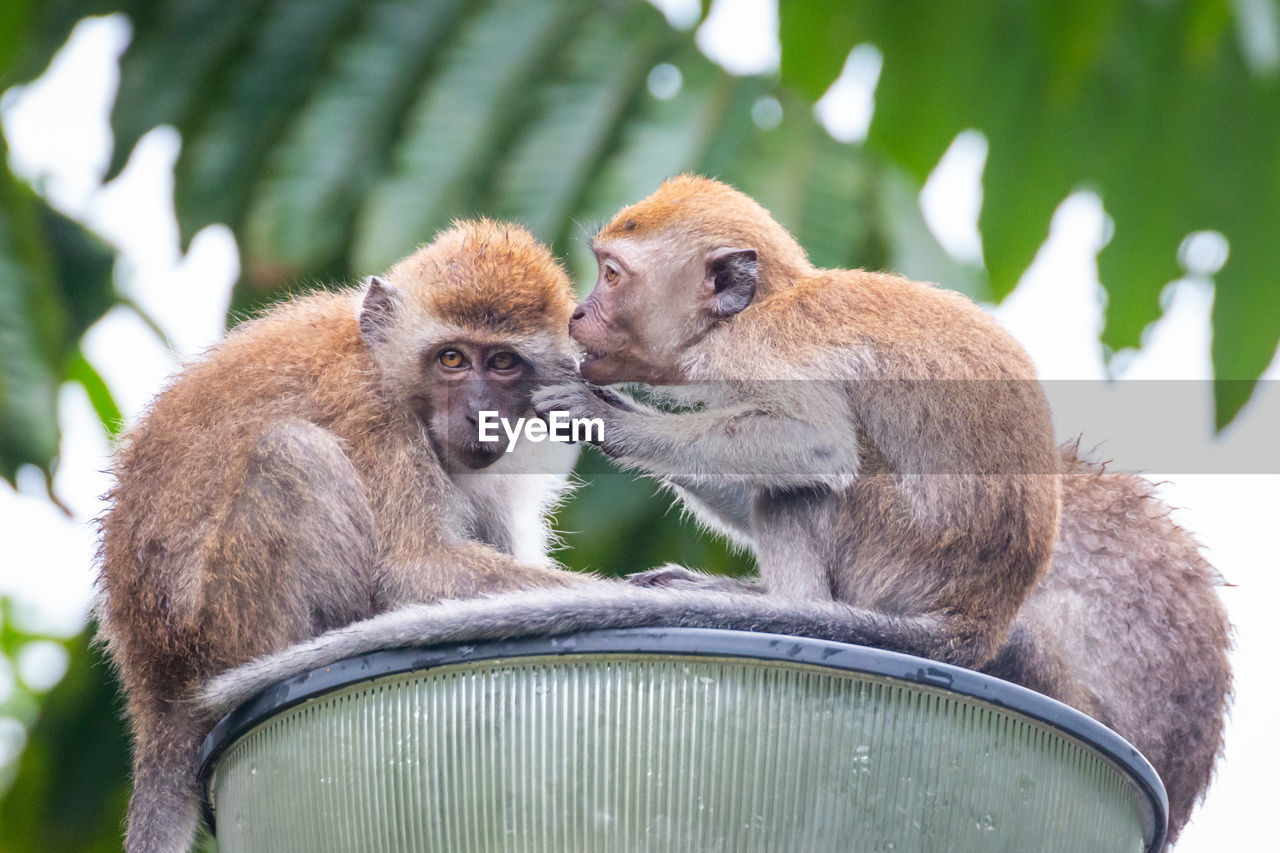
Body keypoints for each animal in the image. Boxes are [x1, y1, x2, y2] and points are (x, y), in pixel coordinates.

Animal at [98, 220, 599, 850]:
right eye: (452, 358)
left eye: (504, 362)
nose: (478, 413)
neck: (387, 366)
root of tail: (152, 680)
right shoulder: (371, 410)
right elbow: (413, 569)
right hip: (219, 629)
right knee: (294, 452)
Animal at [532, 175, 1228, 840]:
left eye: (612, 273)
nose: (579, 313)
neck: (764, 302)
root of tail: (977, 615)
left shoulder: (766, 349)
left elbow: (815, 447)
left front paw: (609, 420)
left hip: (893, 552)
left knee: (807, 490)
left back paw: (792, 607)